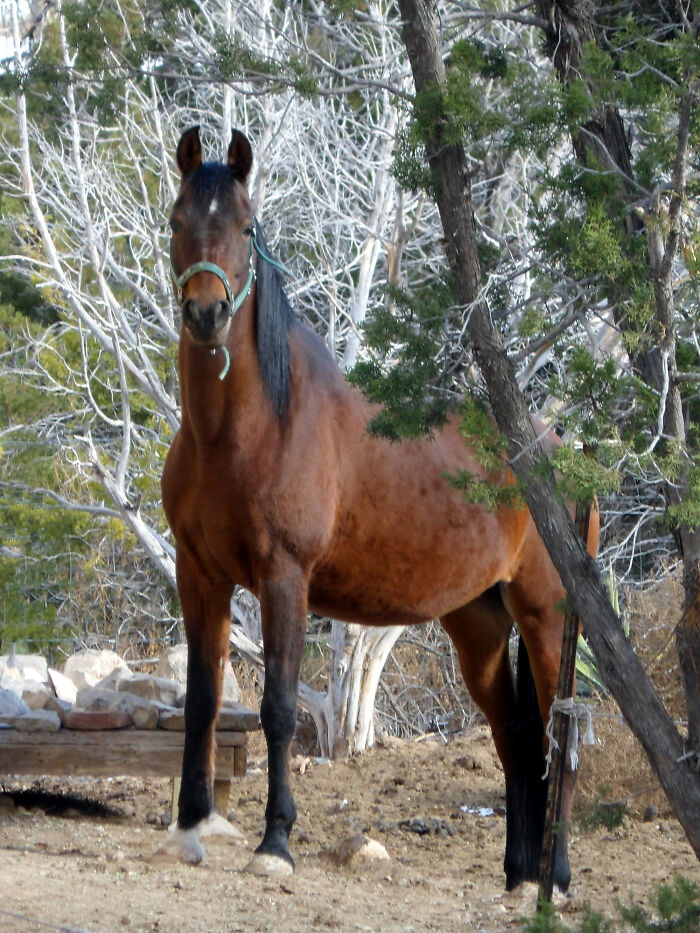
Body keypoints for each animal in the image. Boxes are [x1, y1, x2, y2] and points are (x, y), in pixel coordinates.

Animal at [161, 126, 599, 890]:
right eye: (178, 220)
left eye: (246, 227)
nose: (207, 313)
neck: (247, 429)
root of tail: (558, 451)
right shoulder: (200, 575)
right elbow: (203, 700)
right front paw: (191, 827)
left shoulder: (284, 579)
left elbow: (280, 709)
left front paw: (276, 841)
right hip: (479, 622)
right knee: (516, 737)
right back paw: (518, 874)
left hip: (547, 616)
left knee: (558, 733)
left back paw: (558, 876)